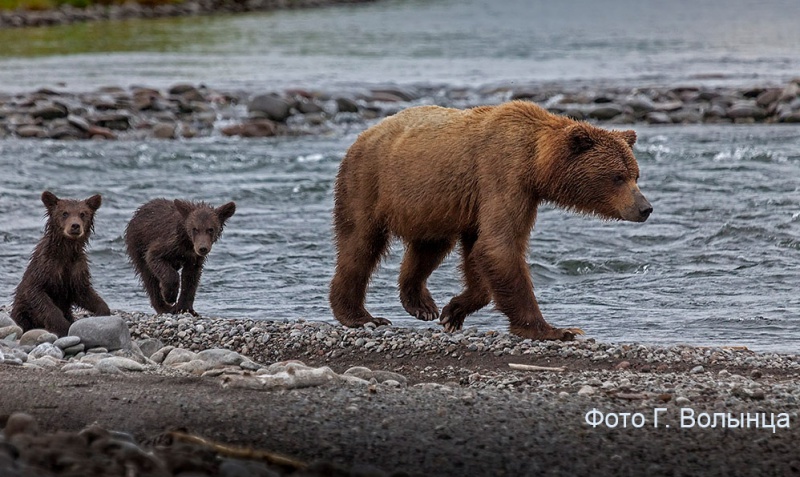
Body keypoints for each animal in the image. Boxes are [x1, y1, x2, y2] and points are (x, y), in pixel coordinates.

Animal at [330, 99, 648, 338]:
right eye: (617, 177)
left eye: (635, 174)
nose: (645, 208)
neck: (535, 163)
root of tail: (364, 135)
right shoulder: (502, 176)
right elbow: (498, 246)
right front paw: (555, 330)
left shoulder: (491, 198)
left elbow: (480, 251)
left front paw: (453, 312)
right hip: (369, 181)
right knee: (360, 244)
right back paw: (360, 316)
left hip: (429, 203)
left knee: (430, 247)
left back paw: (420, 303)